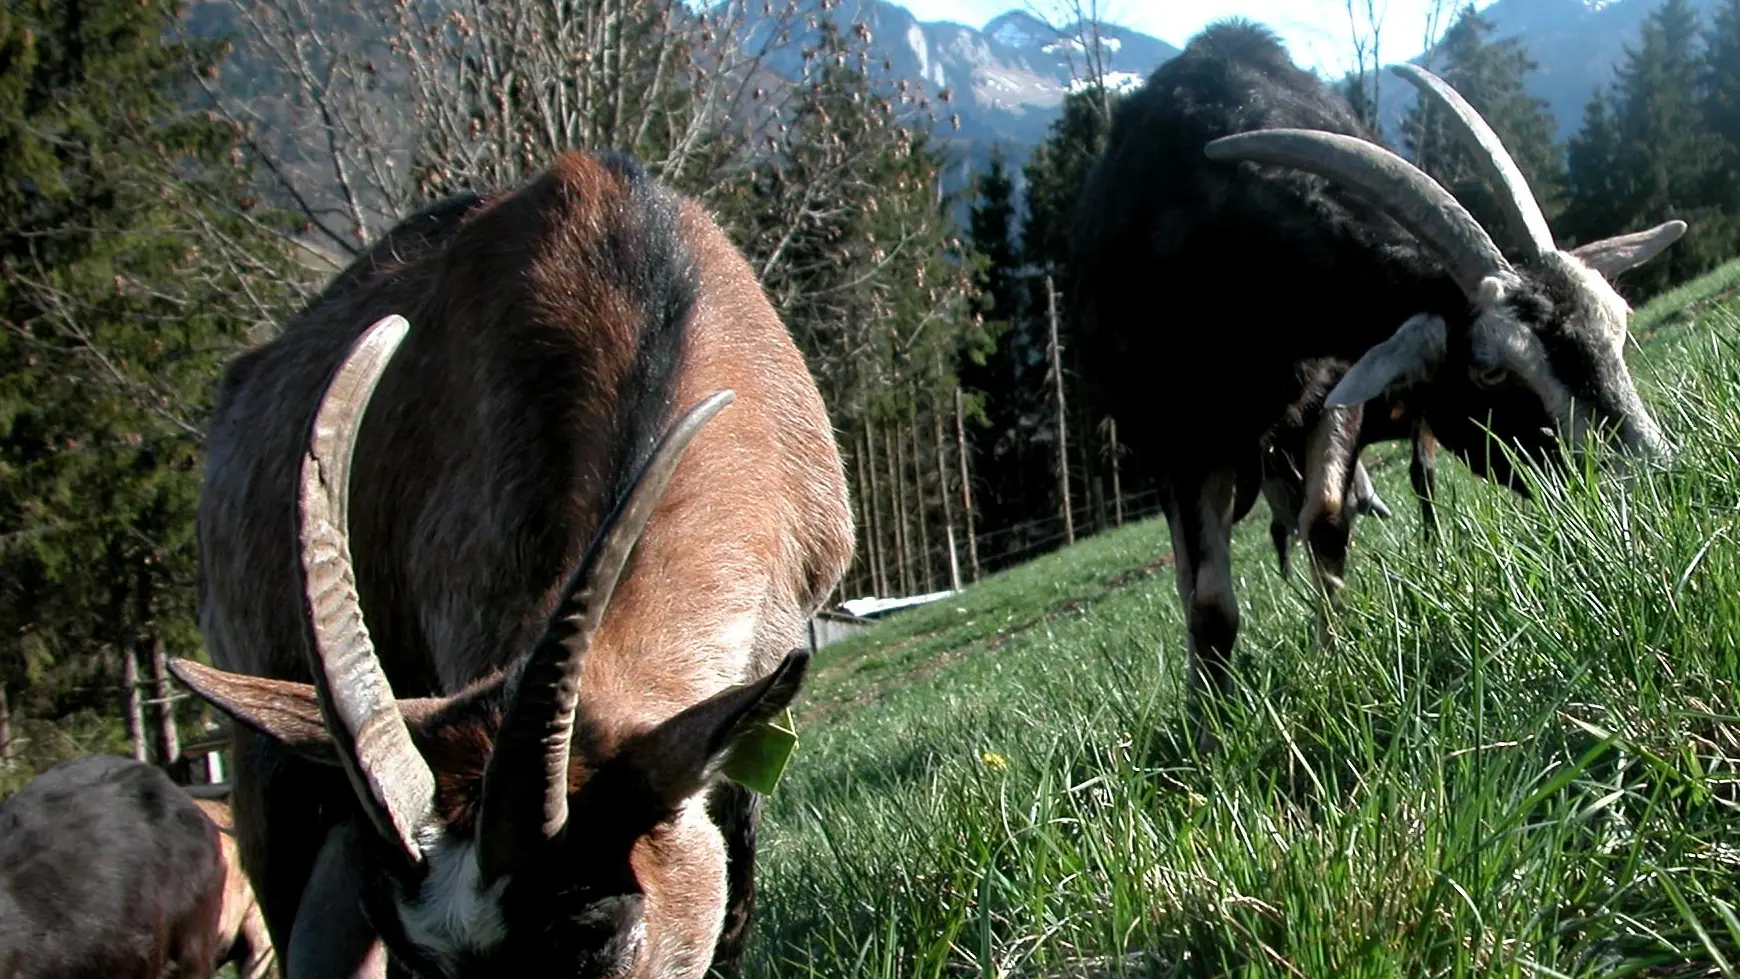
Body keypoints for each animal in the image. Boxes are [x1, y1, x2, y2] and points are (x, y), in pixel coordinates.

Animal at [1071, 19, 1684, 726]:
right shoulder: (1176, 442)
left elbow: (1328, 523)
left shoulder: (1331, 393)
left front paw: (1333, 664)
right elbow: (1207, 604)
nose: (1656, 478)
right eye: (1490, 372)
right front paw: (1209, 730)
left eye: (1616, 327)